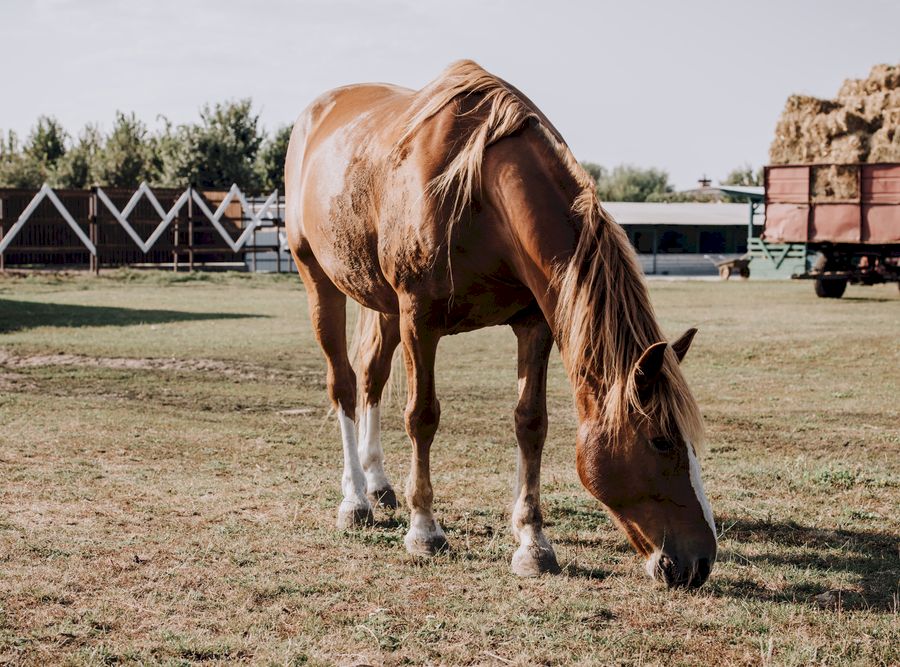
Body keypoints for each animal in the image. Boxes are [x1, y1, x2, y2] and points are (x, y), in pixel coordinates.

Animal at [288, 60, 716, 588]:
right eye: (661, 441)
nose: (701, 562)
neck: (479, 193)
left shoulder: (534, 324)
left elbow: (531, 423)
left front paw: (533, 543)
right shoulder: (419, 320)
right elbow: (422, 417)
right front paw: (424, 530)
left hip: (381, 303)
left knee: (370, 376)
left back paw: (379, 484)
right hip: (319, 280)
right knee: (344, 384)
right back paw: (355, 500)